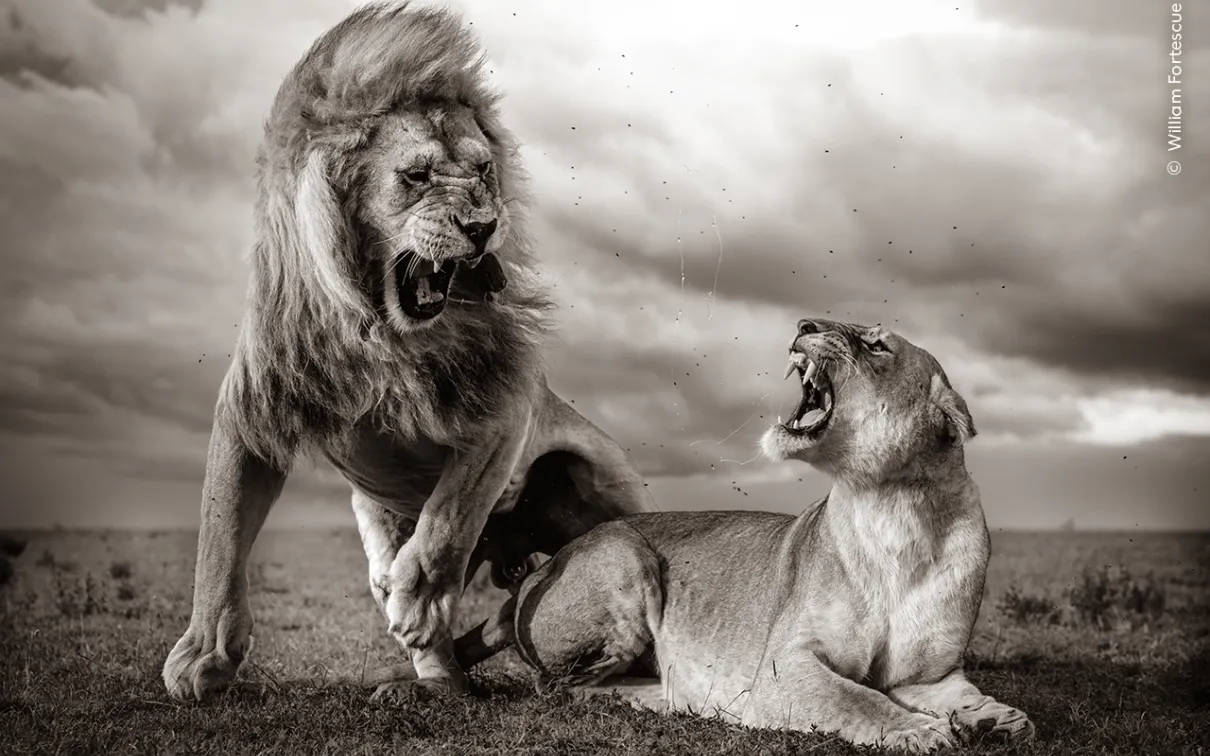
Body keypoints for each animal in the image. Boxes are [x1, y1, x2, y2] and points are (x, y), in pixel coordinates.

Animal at [162, 2, 658, 706]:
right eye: (416, 176)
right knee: (428, 623)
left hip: (604, 487)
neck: (381, 330)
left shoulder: (505, 406)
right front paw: (204, 654)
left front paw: (419, 600)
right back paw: (426, 684)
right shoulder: (251, 409)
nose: (483, 227)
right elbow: (219, 534)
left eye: (484, 172)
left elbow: (448, 519)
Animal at [450, 316, 1035, 749]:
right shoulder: (785, 665)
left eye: (876, 345)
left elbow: (963, 695)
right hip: (624, 556)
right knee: (556, 686)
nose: (804, 323)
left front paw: (999, 718)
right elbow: (859, 698)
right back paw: (676, 697)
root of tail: (538, 573)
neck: (893, 508)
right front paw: (919, 731)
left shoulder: (929, 677)